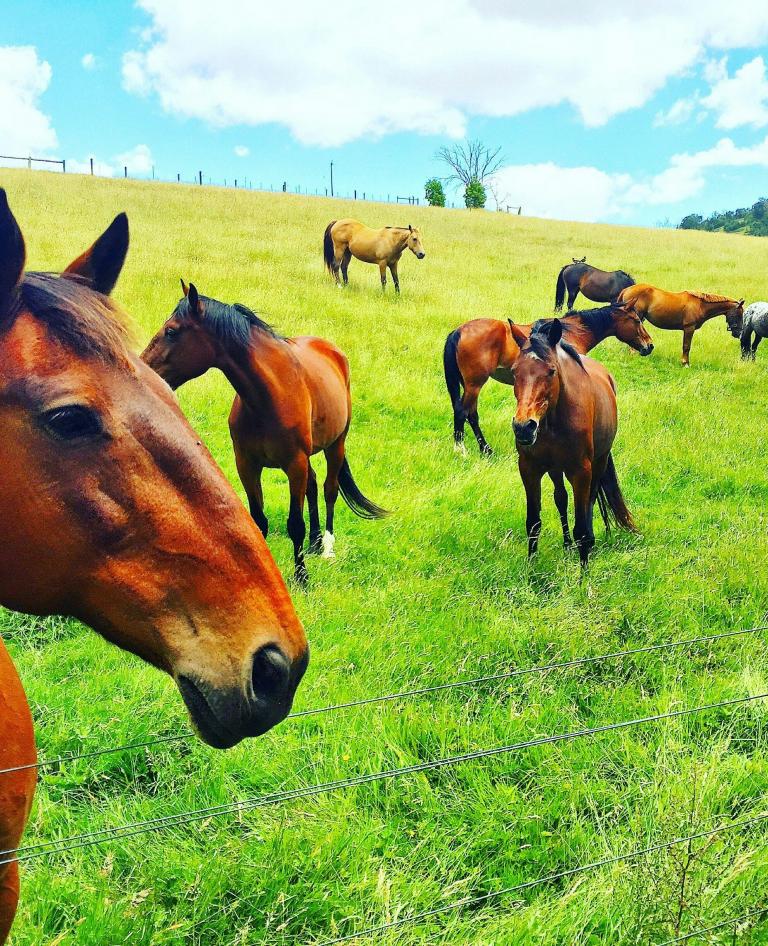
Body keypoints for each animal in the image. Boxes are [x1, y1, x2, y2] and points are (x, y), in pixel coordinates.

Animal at [142, 284, 388, 588]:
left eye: (172, 331)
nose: (142, 366)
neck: (269, 397)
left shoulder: (294, 464)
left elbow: (295, 524)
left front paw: (301, 577)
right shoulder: (247, 465)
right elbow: (259, 521)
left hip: (336, 444)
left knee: (329, 489)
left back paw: (327, 547)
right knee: (313, 485)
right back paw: (315, 542)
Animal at [444, 300, 656, 452]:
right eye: (637, 321)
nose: (649, 346)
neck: (572, 334)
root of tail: (458, 331)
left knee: (471, 414)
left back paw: (486, 450)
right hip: (474, 384)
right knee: (463, 412)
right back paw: (461, 450)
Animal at [510, 318, 636, 568]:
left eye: (551, 371)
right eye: (514, 371)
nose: (523, 427)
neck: (553, 422)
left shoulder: (580, 472)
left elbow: (582, 529)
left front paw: (584, 574)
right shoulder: (529, 469)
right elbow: (533, 523)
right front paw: (531, 570)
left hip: (598, 463)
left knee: (590, 501)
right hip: (555, 469)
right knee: (561, 498)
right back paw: (567, 544)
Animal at [616, 280, 744, 366]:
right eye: (739, 314)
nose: (738, 333)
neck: (700, 305)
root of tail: (626, 289)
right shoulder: (689, 328)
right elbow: (686, 346)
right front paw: (685, 363)